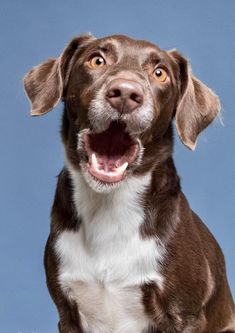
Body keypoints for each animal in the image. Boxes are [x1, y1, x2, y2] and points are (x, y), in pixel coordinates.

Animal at [23, 34, 234, 332]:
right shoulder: (67, 314)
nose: (125, 93)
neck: (110, 207)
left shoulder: (185, 315)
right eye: (97, 60)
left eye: (160, 73)